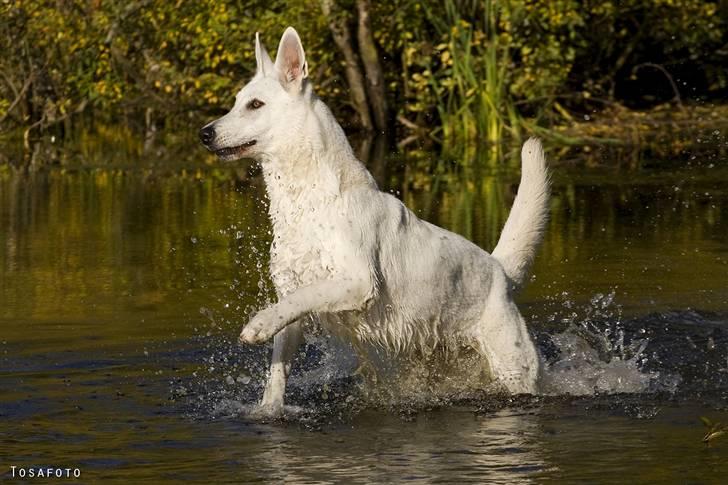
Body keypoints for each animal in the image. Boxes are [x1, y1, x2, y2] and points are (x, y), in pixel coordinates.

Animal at [196, 25, 548, 412]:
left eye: (255, 105)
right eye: (236, 103)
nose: (204, 133)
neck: (310, 203)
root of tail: (500, 270)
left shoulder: (356, 281)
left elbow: (303, 296)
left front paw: (257, 324)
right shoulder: (292, 299)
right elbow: (279, 362)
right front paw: (269, 409)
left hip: (512, 367)